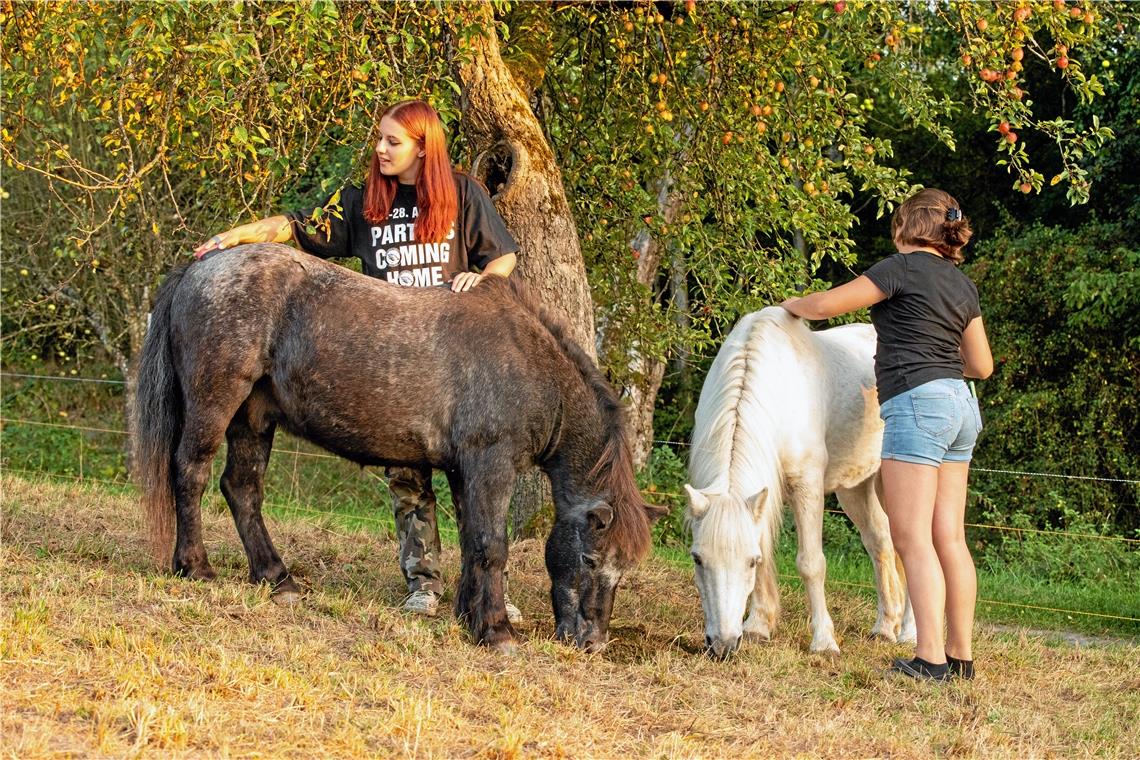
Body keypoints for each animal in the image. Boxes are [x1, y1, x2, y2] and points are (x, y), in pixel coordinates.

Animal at [684, 305, 916, 656]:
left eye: (749, 562)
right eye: (698, 558)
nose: (723, 644)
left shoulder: (807, 486)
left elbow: (811, 563)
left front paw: (824, 642)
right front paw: (758, 626)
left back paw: (909, 633)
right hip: (856, 488)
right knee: (880, 542)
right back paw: (885, 627)